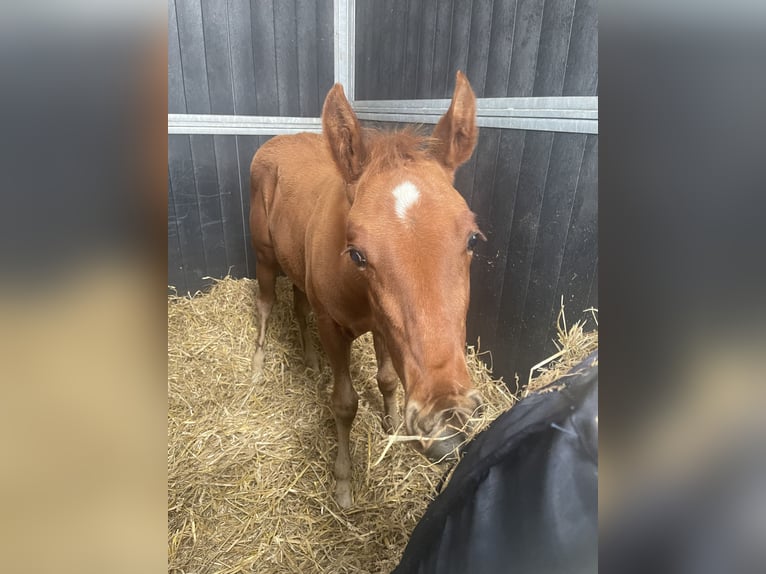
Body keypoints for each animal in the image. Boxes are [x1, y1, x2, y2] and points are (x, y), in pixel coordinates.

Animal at [249, 72, 484, 508]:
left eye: (473, 239)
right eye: (357, 253)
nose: (447, 421)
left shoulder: (383, 324)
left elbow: (387, 379)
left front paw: (391, 424)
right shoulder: (332, 326)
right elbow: (344, 404)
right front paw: (343, 482)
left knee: (299, 307)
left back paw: (311, 362)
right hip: (264, 257)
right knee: (267, 304)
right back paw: (258, 365)